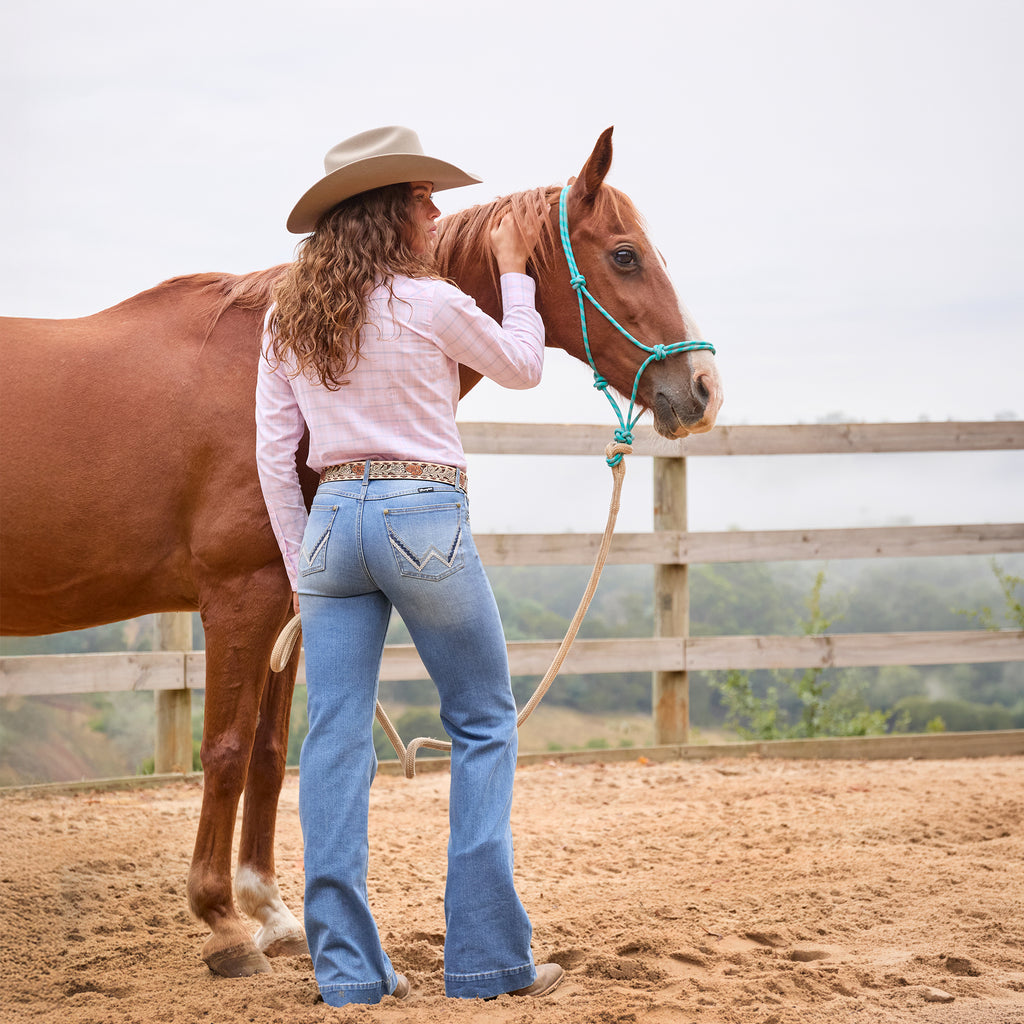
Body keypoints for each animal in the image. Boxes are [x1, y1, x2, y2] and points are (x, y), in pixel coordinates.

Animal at [0, 128, 722, 977]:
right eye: (625, 256)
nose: (704, 388)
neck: (281, 353)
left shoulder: (290, 597)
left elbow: (272, 751)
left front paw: (271, 912)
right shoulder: (238, 598)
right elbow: (225, 748)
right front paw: (222, 921)